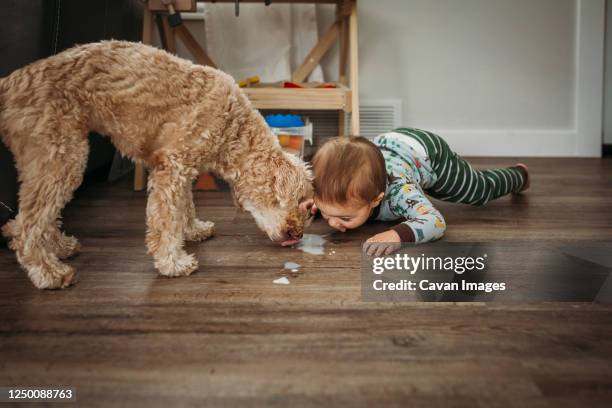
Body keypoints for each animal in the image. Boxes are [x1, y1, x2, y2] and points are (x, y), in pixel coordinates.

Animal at [0, 40, 314, 290]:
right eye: (303, 205)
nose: (298, 236)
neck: (233, 128)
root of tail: (10, 83)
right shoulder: (171, 169)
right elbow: (165, 221)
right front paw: (173, 263)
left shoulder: (183, 169)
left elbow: (185, 206)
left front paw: (193, 230)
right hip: (61, 156)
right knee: (27, 226)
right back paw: (49, 273)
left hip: (49, 160)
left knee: (32, 217)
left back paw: (59, 246)